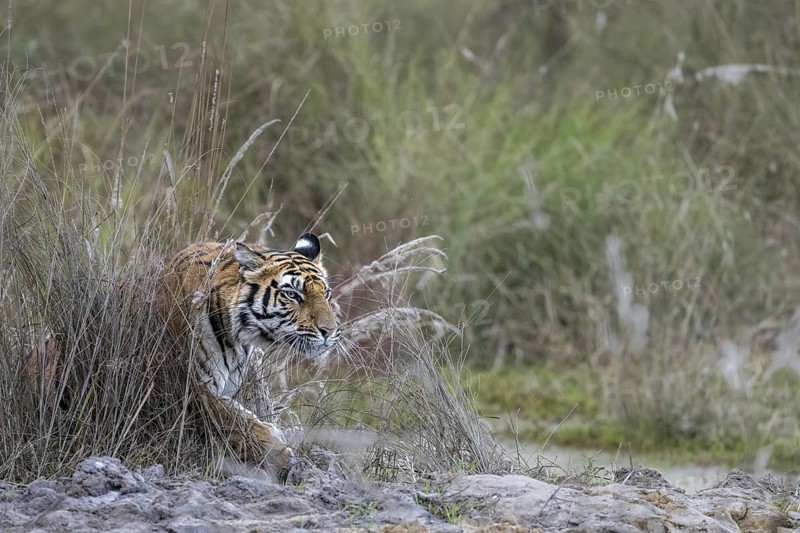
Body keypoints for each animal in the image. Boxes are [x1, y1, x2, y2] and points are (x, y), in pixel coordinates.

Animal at [159, 232, 340, 469]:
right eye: (292, 295)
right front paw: (281, 455)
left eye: (326, 294)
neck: (237, 338)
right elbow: (237, 420)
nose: (330, 330)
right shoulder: (195, 385)